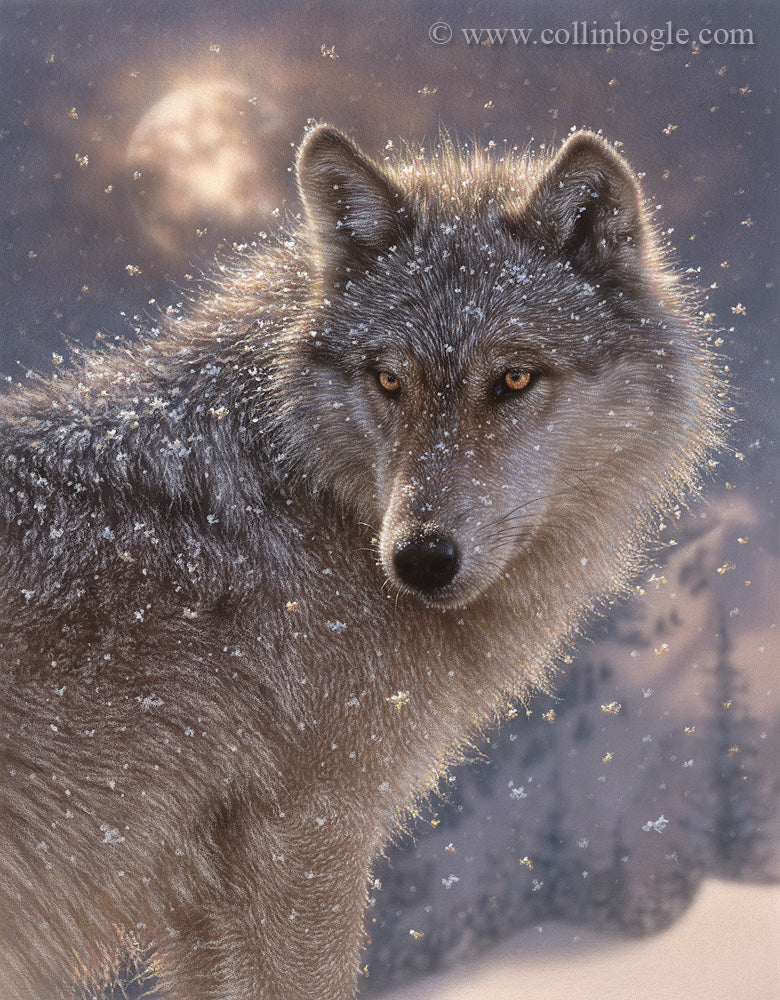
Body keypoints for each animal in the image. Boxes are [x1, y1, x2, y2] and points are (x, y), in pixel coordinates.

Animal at [0, 127, 724, 1000]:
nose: (420, 559)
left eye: (514, 378)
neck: (307, 489)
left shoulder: (203, 900)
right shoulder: (310, 836)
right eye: (389, 380)